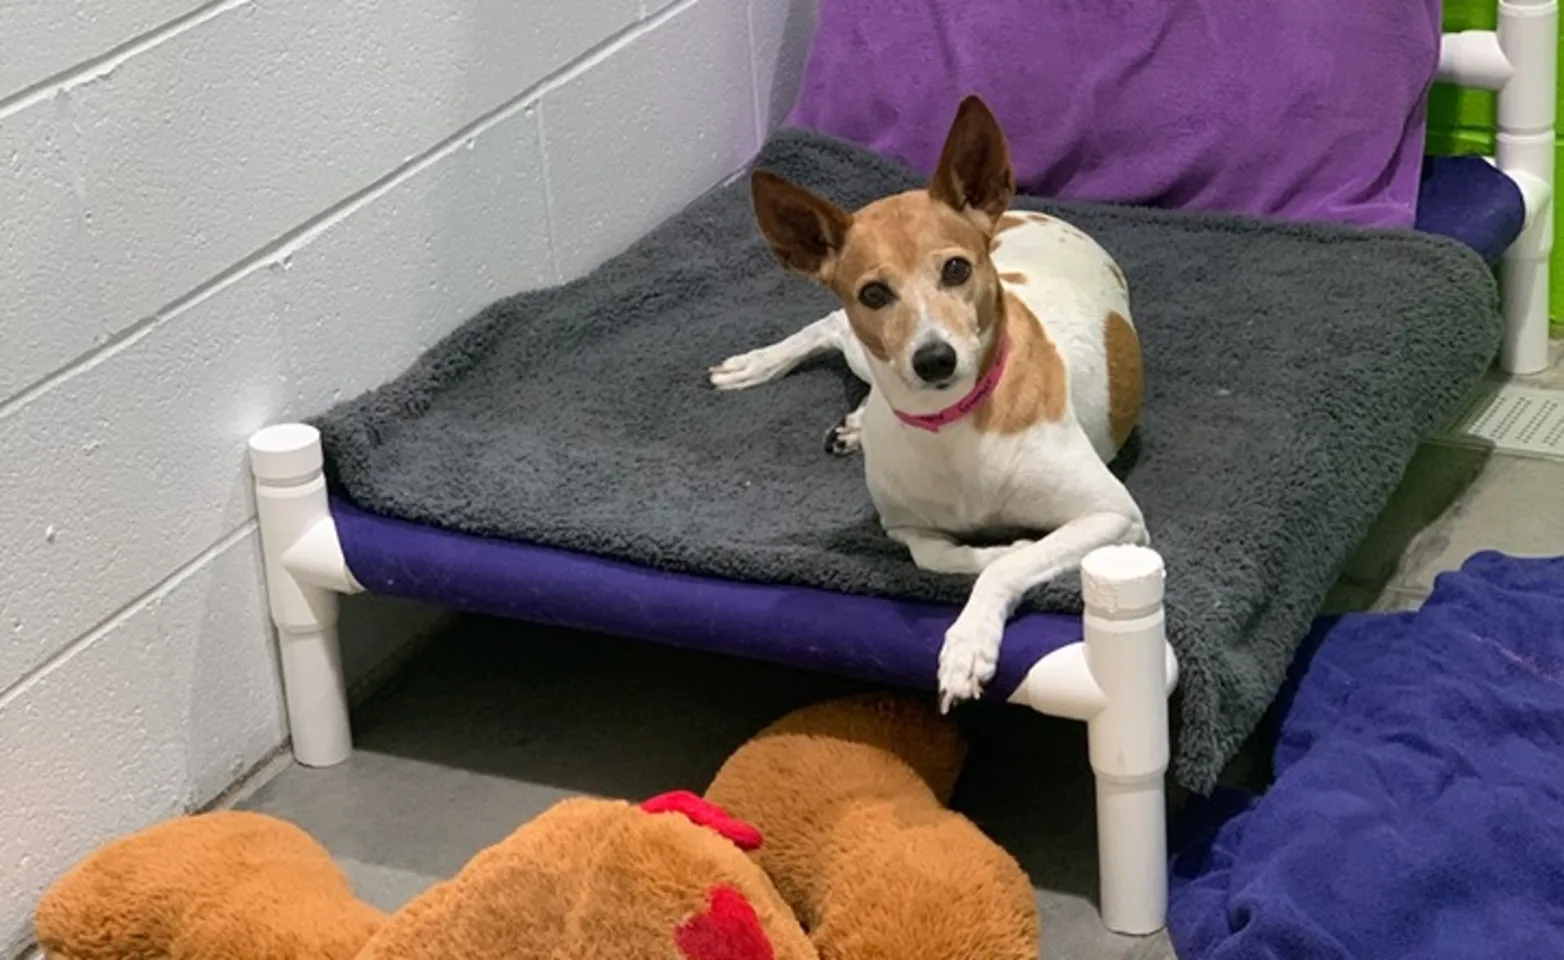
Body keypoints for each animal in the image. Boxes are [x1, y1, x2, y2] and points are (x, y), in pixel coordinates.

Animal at [710, 97, 1151, 709]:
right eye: (874, 293)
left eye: (956, 268)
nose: (934, 359)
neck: (951, 424)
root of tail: (1027, 215)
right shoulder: (903, 527)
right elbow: (939, 554)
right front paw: (995, 549)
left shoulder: (1114, 515)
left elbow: (1012, 564)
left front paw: (969, 639)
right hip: (859, 352)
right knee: (829, 325)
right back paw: (758, 367)